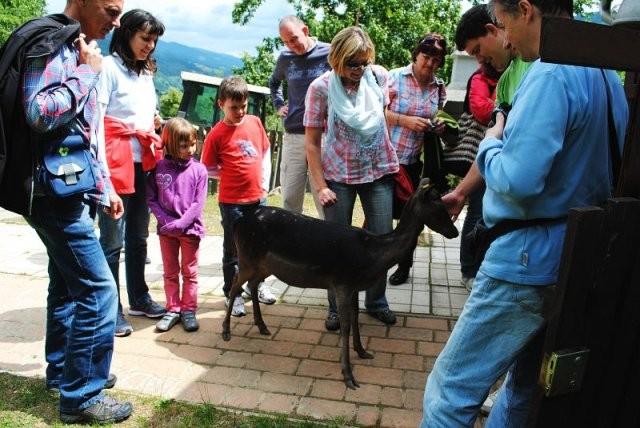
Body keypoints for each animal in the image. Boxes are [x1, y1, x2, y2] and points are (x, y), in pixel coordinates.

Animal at [222, 177, 458, 388]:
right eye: (439, 205)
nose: (454, 232)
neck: (372, 255)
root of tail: (239, 222)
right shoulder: (342, 283)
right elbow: (345, 326)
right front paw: (348, 376)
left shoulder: (353, 286)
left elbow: (355, 318)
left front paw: (362, 351)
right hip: (246, 256)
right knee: (235, 284)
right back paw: (226, 332)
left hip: (263, 265)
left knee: (252, 285)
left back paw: (262, 326)